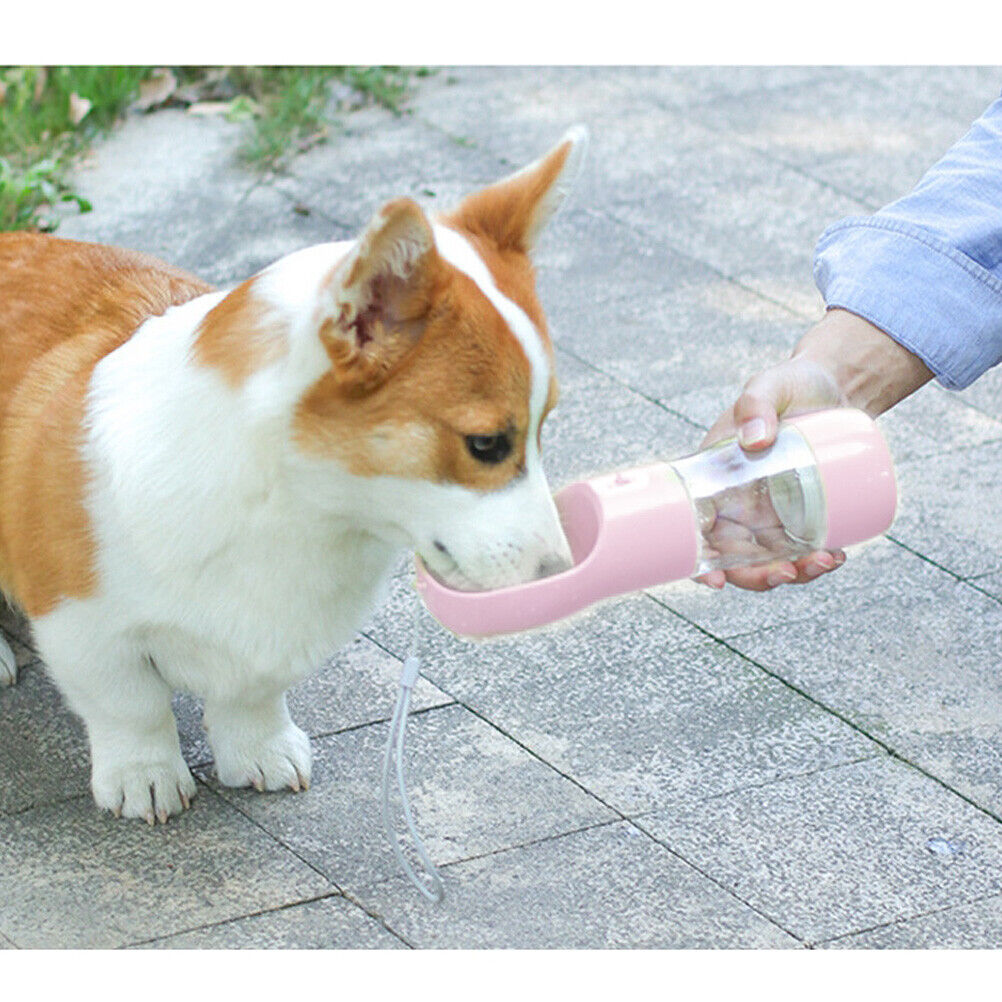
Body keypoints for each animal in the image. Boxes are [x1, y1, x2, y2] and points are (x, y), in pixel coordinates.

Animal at [0, 127, 585, 821]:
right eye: (487, 443)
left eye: (544, 425)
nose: (559, 577)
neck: (299, 509)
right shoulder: (82, 624)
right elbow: (130, 707)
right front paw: (145, 778)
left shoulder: (282, 636)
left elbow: (253, 695)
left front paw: (260, 752)